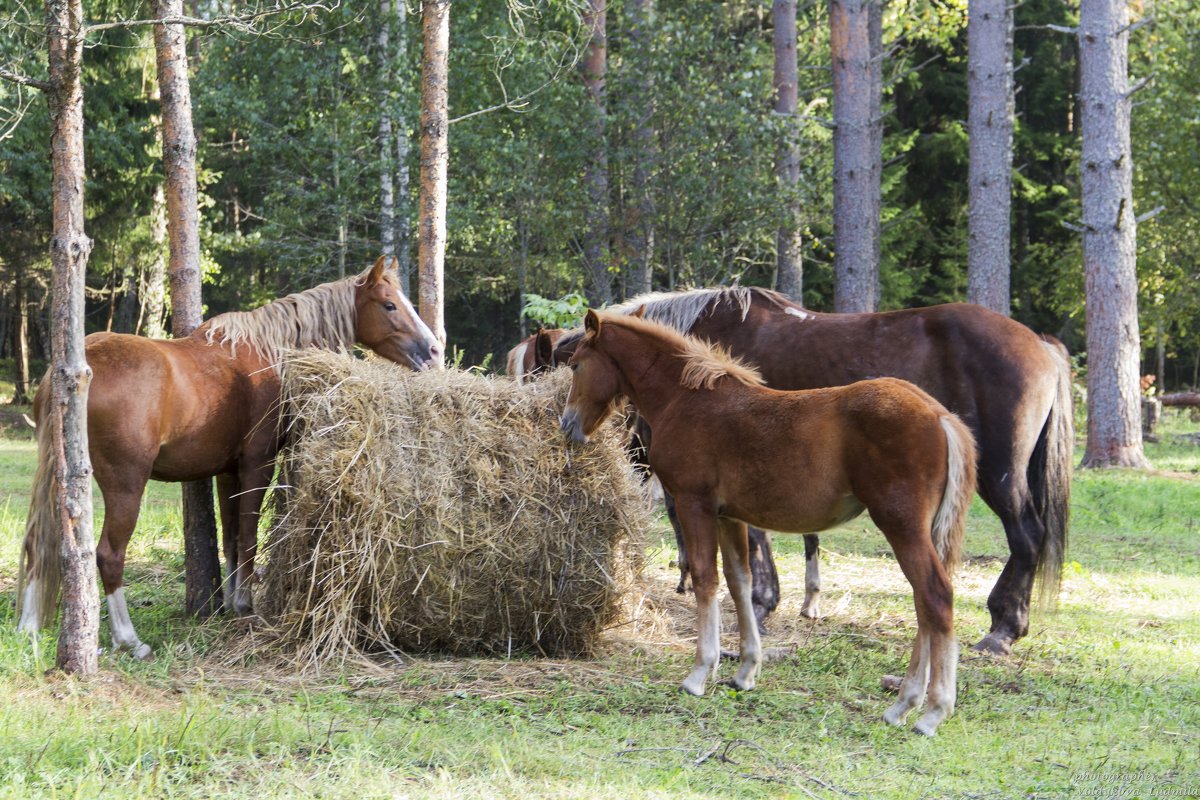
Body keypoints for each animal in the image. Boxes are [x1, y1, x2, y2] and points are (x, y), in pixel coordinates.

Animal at [16, 255, 441, 657]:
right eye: (389, 304)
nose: (434, 350)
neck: (269, 353)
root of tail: (66, 374)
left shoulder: (227, 472)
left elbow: (232, 537)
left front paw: (228, 600)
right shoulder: (257, 465)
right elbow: (249, 536)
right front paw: (244, 604)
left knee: (38, 542)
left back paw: (29, 627)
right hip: (126, 486)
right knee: (108, 554)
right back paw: (128, 639)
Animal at [549, 287, 1075, 657]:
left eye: (569, 368)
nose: (566, 427)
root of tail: (1041, 343)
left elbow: (755, 540)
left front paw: (761, 603)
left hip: (1000, 474)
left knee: (1026, 536)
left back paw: (1003, 630)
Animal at [559, 309, 974, 734]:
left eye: (575, 364)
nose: (567, 424)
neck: (684, 398)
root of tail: (940, 414)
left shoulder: (695, 504)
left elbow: (705, 579)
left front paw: (699, 673)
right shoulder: (729, 517)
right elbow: (739, 582)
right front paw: (745, 672)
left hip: (900, 524)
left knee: (935, 595)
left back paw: (932, 710)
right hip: (921, 530)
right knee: (924, 603)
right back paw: (903, 705)